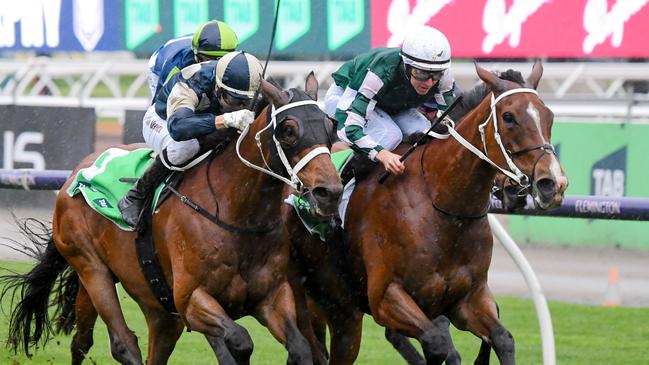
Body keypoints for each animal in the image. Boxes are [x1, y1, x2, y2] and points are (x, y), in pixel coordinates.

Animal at [0, 74, 342, 364]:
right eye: (288, 129)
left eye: (330, 126)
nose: (330, 192)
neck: (237, 216)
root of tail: (76, 173)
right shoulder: (191, 300)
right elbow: (240, 339)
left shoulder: (271, 296)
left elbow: (300, 347)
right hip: (91, 267)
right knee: (121, 342)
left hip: (150, 302)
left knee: (86, 341)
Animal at [286, 61, 564, 362]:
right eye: (509, 116)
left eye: (549, 116)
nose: (552, 183)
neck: (441, 205)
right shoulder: (386, 297)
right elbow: (437, 340)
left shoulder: (467, 298)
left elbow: (502, 338)